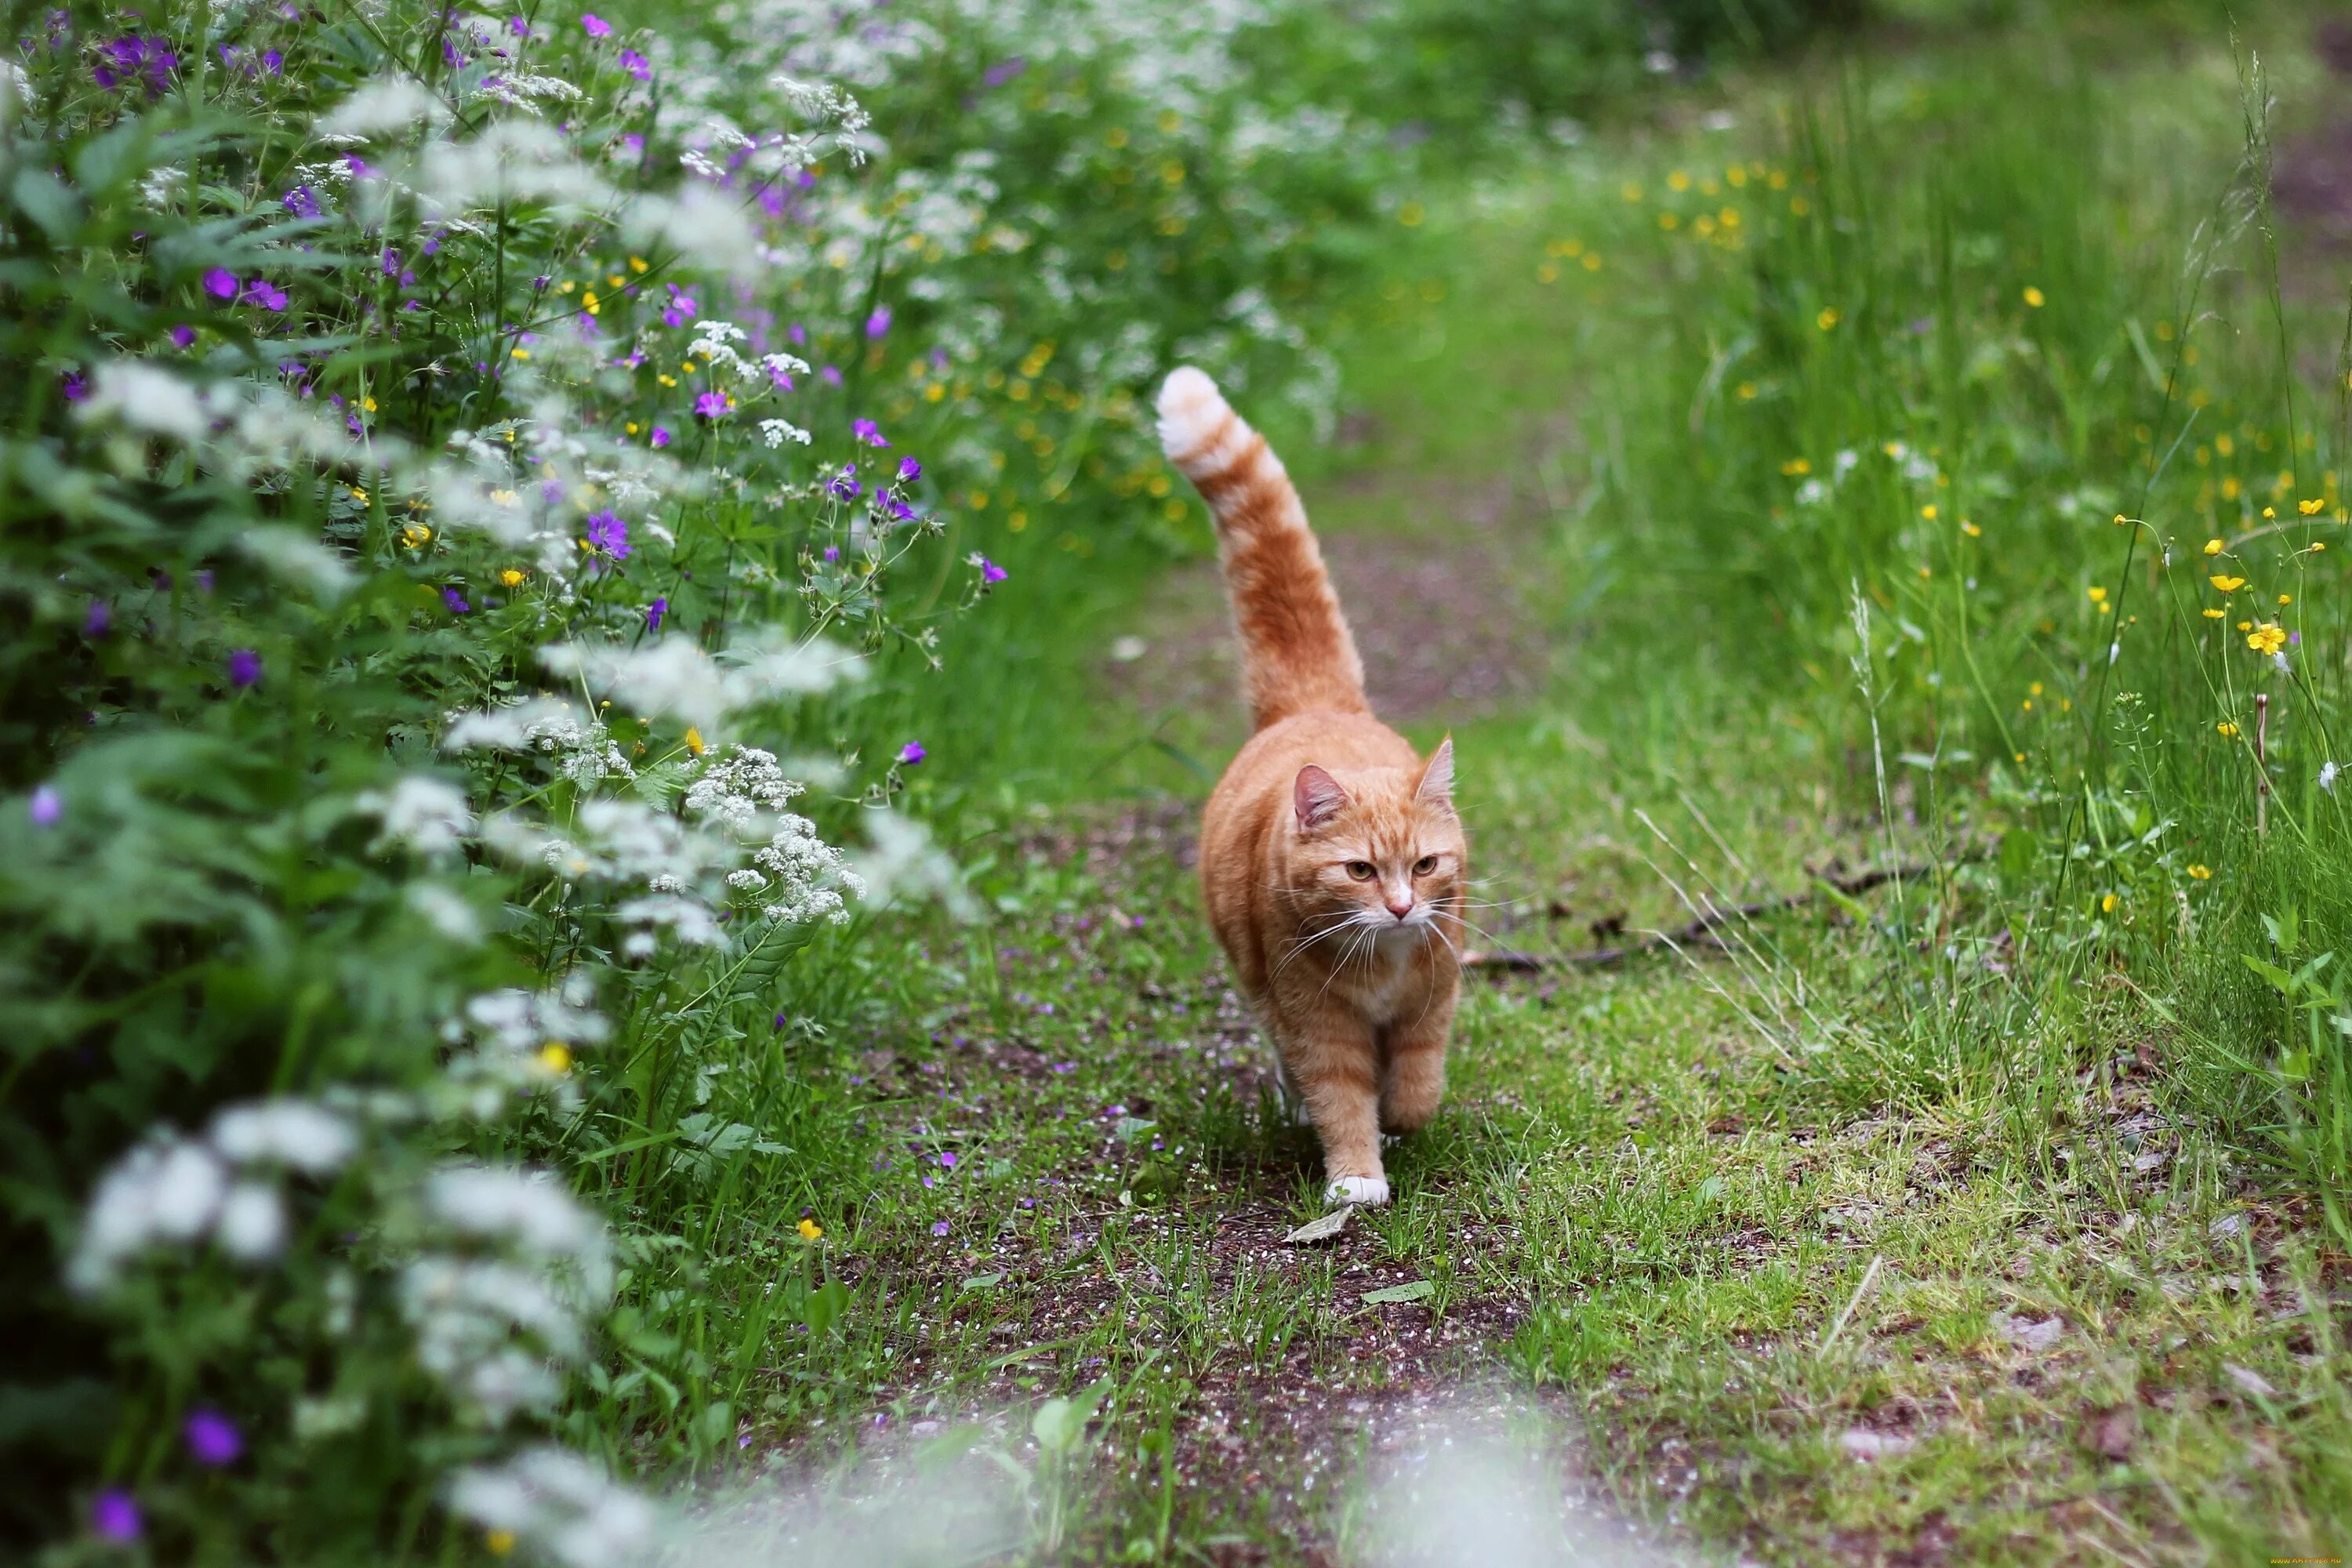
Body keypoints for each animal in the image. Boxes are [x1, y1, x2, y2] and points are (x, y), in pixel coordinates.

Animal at [1162, 368, 1468, 1213]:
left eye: (1424, 865)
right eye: (1360, 870)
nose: (1400, 907)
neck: (1385, 957)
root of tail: (1312, 703)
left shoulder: (1435, 997)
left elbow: (1417, 1081)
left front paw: (1403, 1115)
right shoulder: (1315, 1018)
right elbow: (1341, 1095)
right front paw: (1358, 1174)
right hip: (1262, 986)